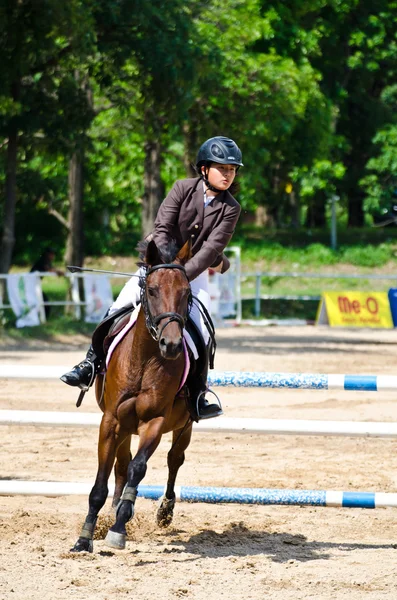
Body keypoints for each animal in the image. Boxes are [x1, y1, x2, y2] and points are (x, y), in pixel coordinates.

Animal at [71, 239, 195, 552]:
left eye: (186, 293)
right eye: (151, 290)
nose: (171, 345)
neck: (145, 358)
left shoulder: (155, 422)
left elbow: (139, 469)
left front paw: (118, 528)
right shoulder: (111, 421)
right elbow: (101, 482)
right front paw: (85, 538)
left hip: (184, 425)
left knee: (174, 459)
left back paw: (164, 511)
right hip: (125, 426)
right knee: (121, 464)